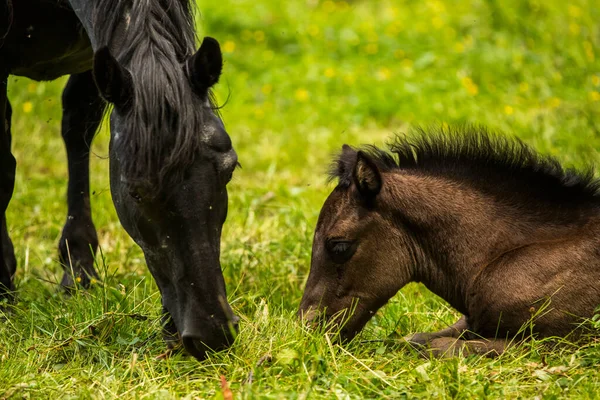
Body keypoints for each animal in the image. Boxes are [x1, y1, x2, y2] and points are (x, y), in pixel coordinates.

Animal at [0, 0, 239, 360]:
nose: (212, 333)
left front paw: (79, 271)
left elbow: (78, 124)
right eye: (136, 192)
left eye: (230, 169)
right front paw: (3, 290)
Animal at [300, 127, 600, 356]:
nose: (308, 330)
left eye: (339, 245)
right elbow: (416, 337)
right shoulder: (472, 321)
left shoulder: (561, 342)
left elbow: (437, 346)